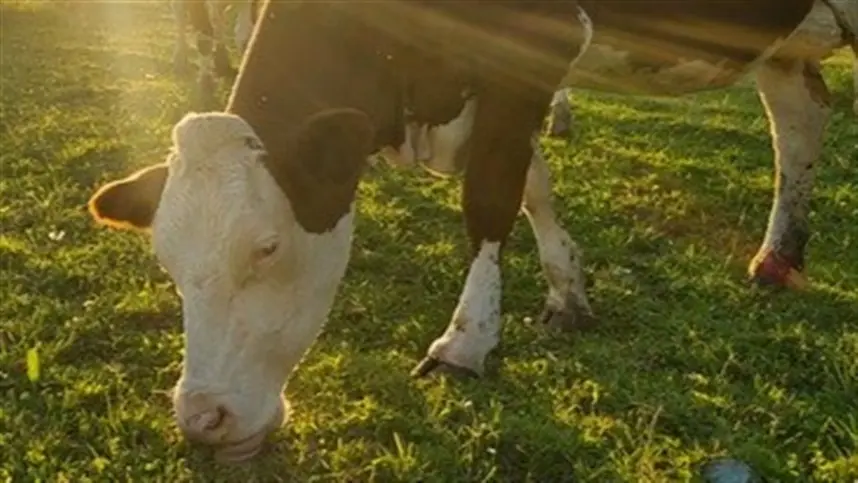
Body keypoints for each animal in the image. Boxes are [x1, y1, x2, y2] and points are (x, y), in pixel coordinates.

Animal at [86, 0, 856, 462]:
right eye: (167, 263)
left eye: (268, 247)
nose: (202, 419)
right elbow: (530, 184)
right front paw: (567, 292)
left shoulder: (537, 42)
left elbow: (490, 196)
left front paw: (466, 340)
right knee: (800, 118)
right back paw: (777, 258)